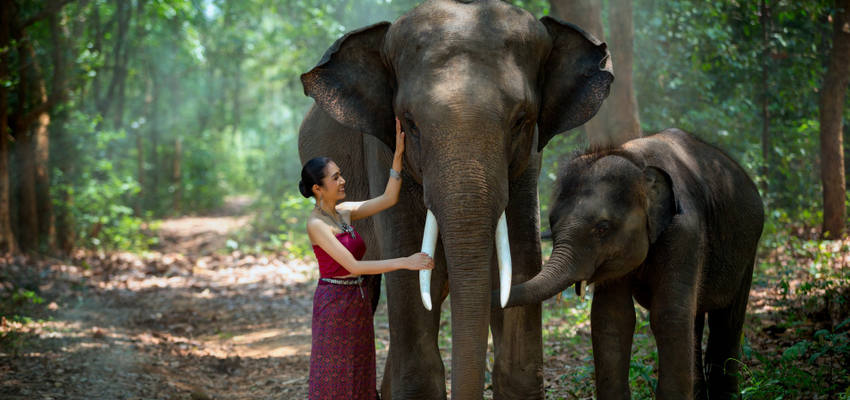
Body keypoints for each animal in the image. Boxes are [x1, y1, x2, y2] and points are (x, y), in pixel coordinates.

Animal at [298, 1, 608, 398]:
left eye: (521, 119)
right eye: (409, 123)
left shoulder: (528, 165)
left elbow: (518, 262)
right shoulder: (381, 152)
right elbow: (411, 278)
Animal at [504, 130, 760, 398]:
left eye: (602, 228)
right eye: (552, 224)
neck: (636, 161)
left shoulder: (686, 231)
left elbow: (669, 316)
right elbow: (612, 317)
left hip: (748, 247)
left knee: (727, 321)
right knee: (696, 319)